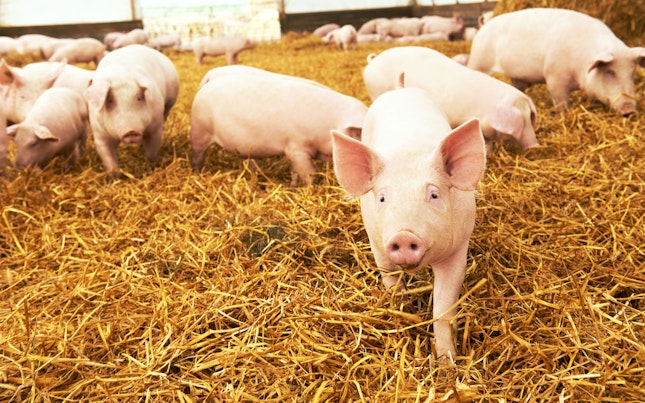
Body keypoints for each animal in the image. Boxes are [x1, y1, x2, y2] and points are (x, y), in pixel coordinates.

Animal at [84, 44, 179, 175]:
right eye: (110, 100)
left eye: (139, 98)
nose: (131, 131)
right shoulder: (99, 135)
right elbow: (109, 161)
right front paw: (115, 177)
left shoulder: (155, 128)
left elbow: (152, 151)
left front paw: (150, 166)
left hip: (169, 102)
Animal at [190, 70, 367, 186]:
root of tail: (203, 88)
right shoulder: (297, 148)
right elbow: (310, 174)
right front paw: (311, 188)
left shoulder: (292, 152)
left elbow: (295, 172)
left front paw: (293, 186)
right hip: (199, 131)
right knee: (197, 158)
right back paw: (197, 176)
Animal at [330, 87, 486, 361]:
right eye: (382, 198)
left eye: (434, 194)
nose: (403, 235)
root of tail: (399, 89)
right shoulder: (377, 244)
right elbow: (392, 284)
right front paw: (402, 314)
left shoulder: (458, 249)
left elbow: (443, 307)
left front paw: (447, 362)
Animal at [364, 46, 539, 152]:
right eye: (522, 120)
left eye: (530, 116)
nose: (535, 145)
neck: (487, 111)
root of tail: (373, 61)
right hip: (375, 90)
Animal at [468, 8, 645, 115]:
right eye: (609, 72)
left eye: (632, 74)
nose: (630, 109)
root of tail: (484, 27)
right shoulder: (554, 77)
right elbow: (561, 103)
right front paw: (565, 115)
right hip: (478, 61)